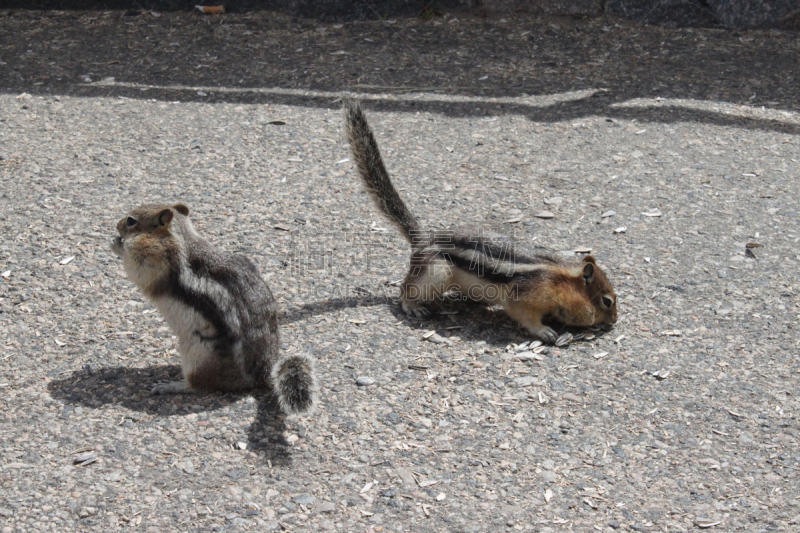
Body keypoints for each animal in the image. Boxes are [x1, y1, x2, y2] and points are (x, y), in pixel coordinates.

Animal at [111, 202, 316, 414]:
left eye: (131, 221)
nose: (117, 225)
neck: (182, 238)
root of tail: (263, 372)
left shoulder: (155, 261)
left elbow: (137, 268)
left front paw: (117, 243)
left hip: (199, 357)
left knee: (200, 385)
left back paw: (172, 386)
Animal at [344, 99, 620, 340]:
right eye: (607, 301)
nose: (614, 321)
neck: (558, 277)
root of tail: (424, 240)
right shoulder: (526, 297)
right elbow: (524, 316)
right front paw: (545, 331)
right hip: (436, 273)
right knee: (406, 288)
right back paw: (412, 305)